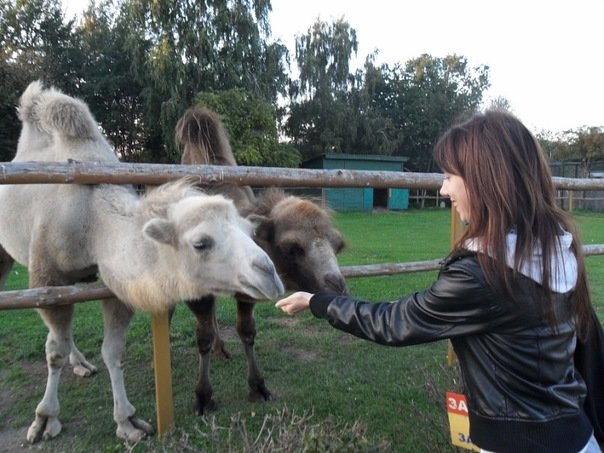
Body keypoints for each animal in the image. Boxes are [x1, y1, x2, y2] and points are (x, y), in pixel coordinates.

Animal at [0, 81, 286, 442]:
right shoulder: (47, 277)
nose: (270, 274)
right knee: (54, 335)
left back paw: (81, 364)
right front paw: (45, 419)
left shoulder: (115, 282)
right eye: (200, 243)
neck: (92, 218)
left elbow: (112, 350)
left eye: (250, 230)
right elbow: (54, 350)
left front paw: (127, 421)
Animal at [175, 106, 346, 414]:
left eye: (337, 245)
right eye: (292, 248)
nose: (338, 287)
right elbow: (202, 337)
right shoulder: (195, 288)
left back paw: (221, 350)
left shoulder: (248, 290)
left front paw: (258, 387)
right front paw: (203, 397)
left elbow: (247, 331)